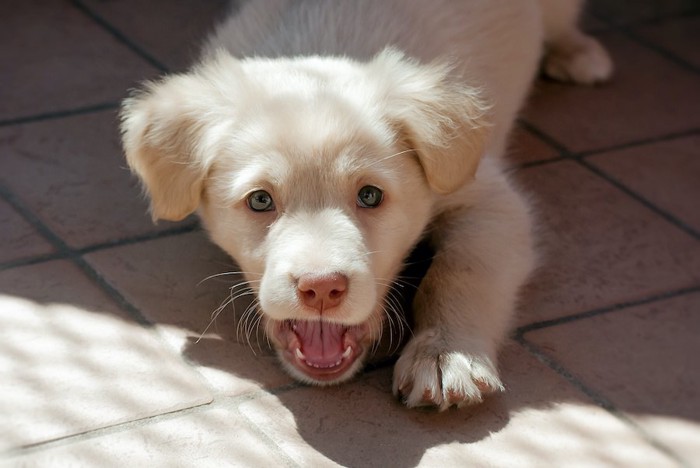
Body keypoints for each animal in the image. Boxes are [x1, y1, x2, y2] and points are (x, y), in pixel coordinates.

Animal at [121, 0, 612, 410]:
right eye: (260, 200)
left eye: (370, 195)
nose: (322, 289)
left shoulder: (489, 199)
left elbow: (460, 272)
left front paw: (446, 355)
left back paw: (577, 52)